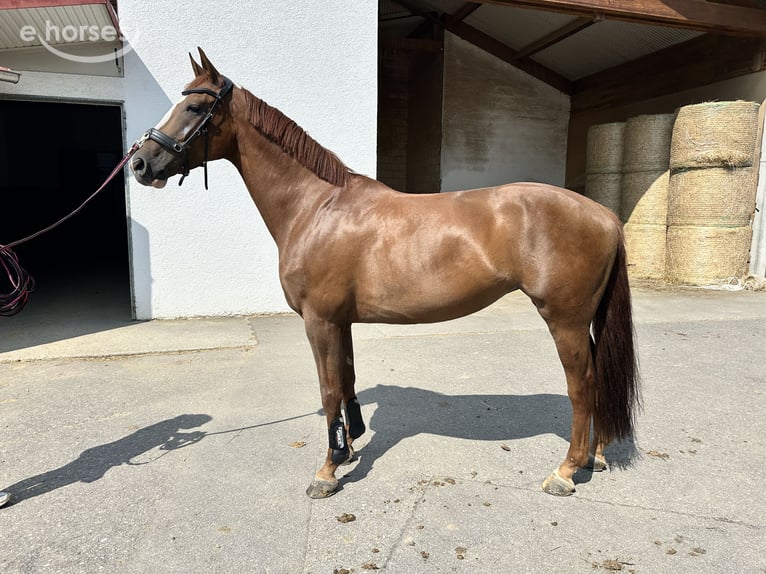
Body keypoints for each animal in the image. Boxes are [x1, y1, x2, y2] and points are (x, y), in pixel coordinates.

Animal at [131, 48, 639, 499]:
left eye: (194, 106)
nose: (139, 162)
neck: (316, 207)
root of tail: (602, 214)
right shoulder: (340, 322)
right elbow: (347, 381)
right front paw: (348, 449)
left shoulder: (319, 321)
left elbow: (329, 389)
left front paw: (327, 471)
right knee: (594, 381)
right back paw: (593, 457)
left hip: (565, 320)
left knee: (582, 385)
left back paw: (566, 471)